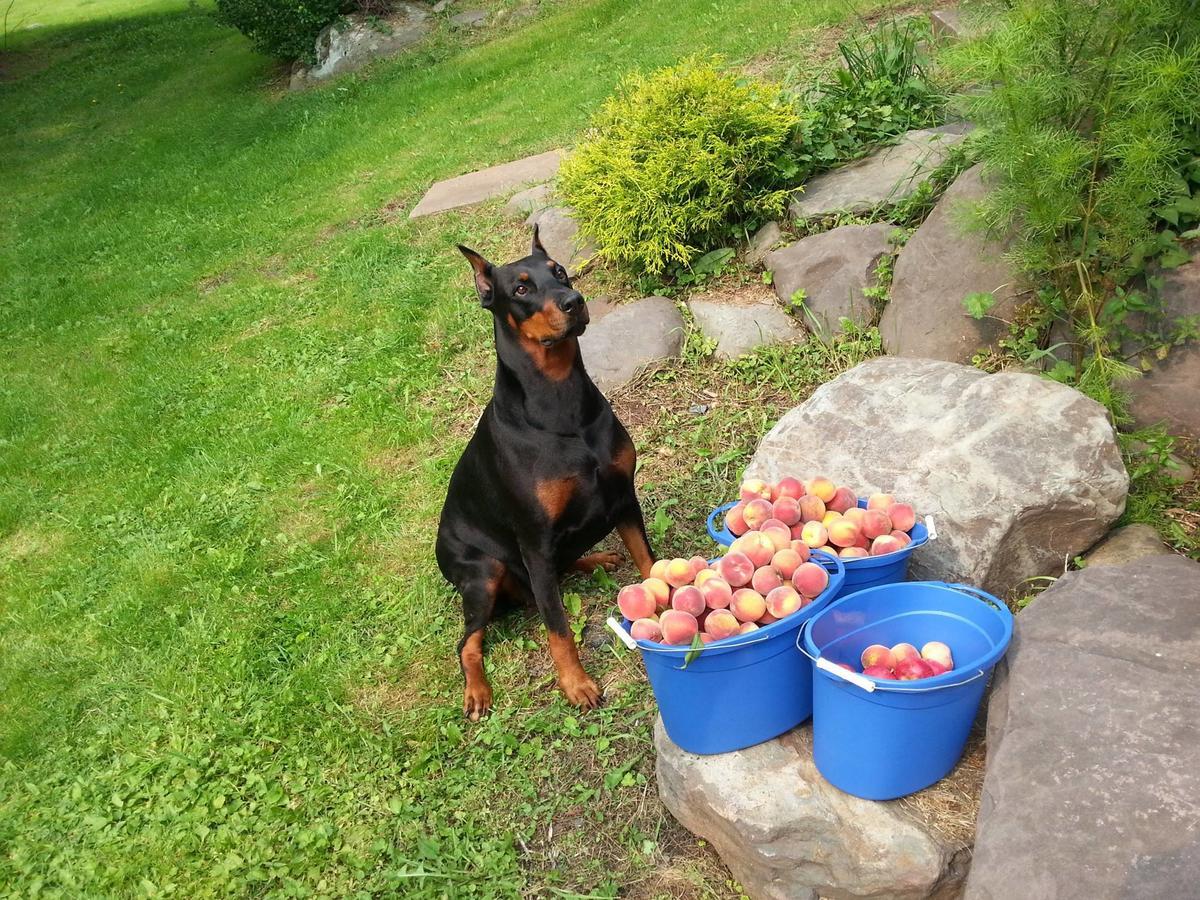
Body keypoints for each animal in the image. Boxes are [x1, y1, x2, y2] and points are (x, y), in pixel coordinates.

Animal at [434, 226, 657, 724]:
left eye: (560, 272)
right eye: (520, 289)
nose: (574, 301)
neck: (560, 400)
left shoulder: (623, 497)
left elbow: (649, 562)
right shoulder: (533, 539)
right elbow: (557, 626)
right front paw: (575, 684)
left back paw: (597, 559)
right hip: (484, 574)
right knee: (468, 642)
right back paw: (476, 691)